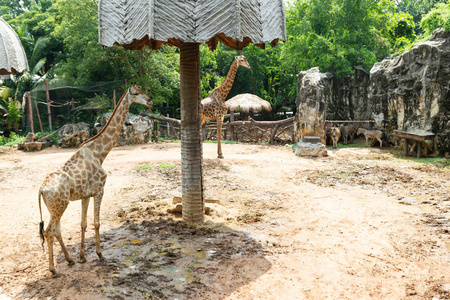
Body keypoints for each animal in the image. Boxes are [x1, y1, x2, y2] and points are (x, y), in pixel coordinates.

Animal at [38, 83, 151, 276]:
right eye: (136, 93)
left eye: (143, 90)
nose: (150, 101)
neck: (100, 153)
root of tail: (42, 189)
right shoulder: (100, 190)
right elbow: (97, 223)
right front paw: (99, 254)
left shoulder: (85, 195)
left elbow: (83, 224)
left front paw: (82, 257)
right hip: (60, 205)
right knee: (49, 231)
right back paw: (53, 269)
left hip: (55, 207)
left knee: (56, 230)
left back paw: (70, 260)